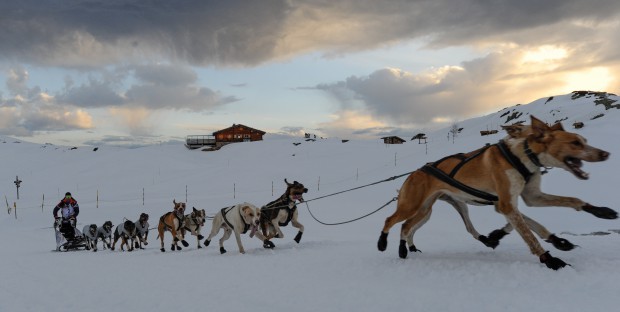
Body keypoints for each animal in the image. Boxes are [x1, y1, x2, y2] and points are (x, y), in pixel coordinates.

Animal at [376, 116, 616, 270]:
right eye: (575, 142)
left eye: (584, 141)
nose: (605, 154)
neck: (522, 155)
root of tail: (414, 173)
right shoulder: (507, 204)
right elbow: (529, 234)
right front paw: (549, 259)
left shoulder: (526, 199)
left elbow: (567, 203)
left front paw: (597, 212)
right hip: (412, 206)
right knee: (391, 220)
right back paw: (383, 243)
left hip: (435, 209)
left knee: (409, 227)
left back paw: (405, 249)